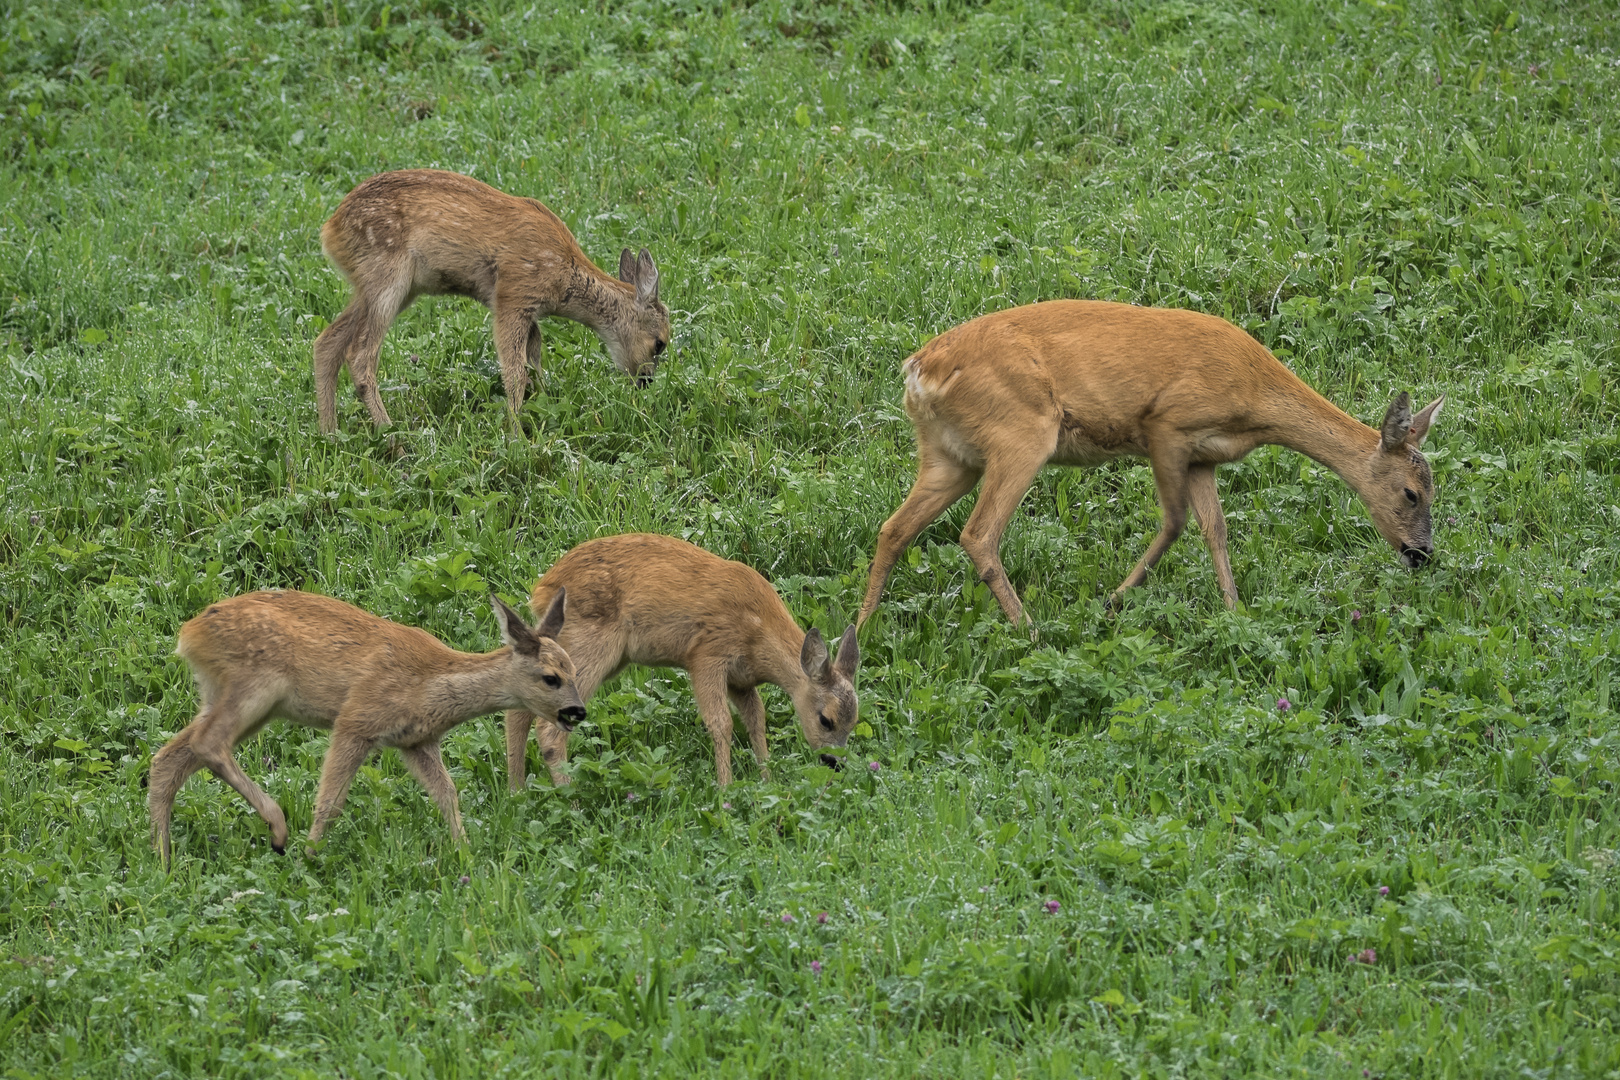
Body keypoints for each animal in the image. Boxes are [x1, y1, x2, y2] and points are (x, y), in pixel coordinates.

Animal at [149, 586, 586, 867]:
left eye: (574, 669)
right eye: (551, 678)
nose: (578, 711)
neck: (429, 683)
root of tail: (189, 633)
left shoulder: (416, 742)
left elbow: (447, 793)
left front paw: (464, 853)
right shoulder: (357, 718)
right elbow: (331, 800)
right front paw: (311, 857)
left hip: (231, 698)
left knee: (170, 756)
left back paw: (162, 859)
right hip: (254, 685)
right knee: (209, 743)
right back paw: (277, 831)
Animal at [312, 169, 667, 433]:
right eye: (660, 343)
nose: (646, 382)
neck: (563, 275)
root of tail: (329, 229)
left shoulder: (528, 311)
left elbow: (534, 358)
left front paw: (544, 407)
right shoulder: (513, 294)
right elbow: (515, 371)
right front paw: (517, 436)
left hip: (384, 286)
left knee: (327, 341)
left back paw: (330, 433)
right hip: (387, 277)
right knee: (360, 356)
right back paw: (393, 438)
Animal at [502, 537, 861, 790]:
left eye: (854, 721)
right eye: (826, 720)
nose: (835, 762)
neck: (758, 636)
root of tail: (541, 589)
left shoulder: (741, 680)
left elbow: (757, 721)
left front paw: (767, 779)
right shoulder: (706, 656)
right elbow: (721, 723)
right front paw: (726, 788)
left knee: (519, 710)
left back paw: (517, 791)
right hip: (589, 646)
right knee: (548, 727)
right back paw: (568, 798)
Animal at [855, 299, 1451, 628]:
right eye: (1411, 492)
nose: (1421, 554)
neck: (1255, 400)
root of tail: (919, 370)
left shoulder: (1204, 457)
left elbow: (1215, 528)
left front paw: (1234, 612)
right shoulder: (1167, 425)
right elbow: (1175, 521)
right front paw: (1115, 600)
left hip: (950, 455)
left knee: (894, 528)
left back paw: (862, 630)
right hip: (1021, 433)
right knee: (978, 533)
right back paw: (1031, 629)